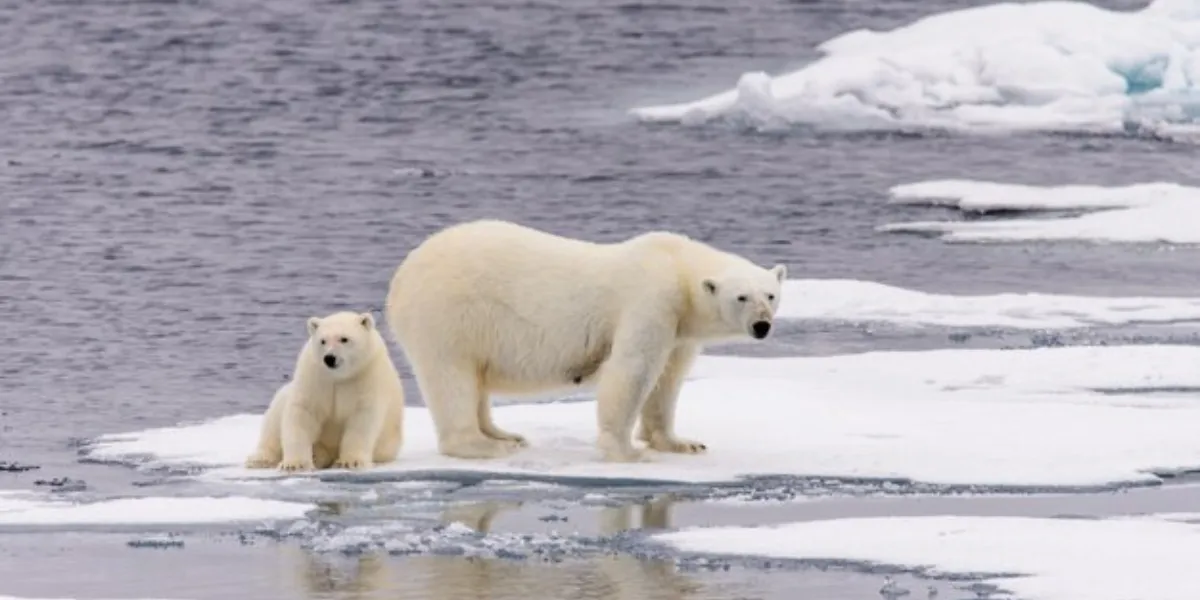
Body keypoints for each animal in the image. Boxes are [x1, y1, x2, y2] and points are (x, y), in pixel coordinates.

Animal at [384, 223, 787, 460]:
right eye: (741, 297)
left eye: (770, 294)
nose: (762, 325)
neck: (676, 265)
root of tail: (401, 277)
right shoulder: (651, 300)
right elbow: (632, 370)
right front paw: (626, 451)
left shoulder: (680, 327)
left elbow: (668, 379)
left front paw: (681, 443)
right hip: (449, 314)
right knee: (452, 378)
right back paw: (485, 445)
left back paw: (505, 434)